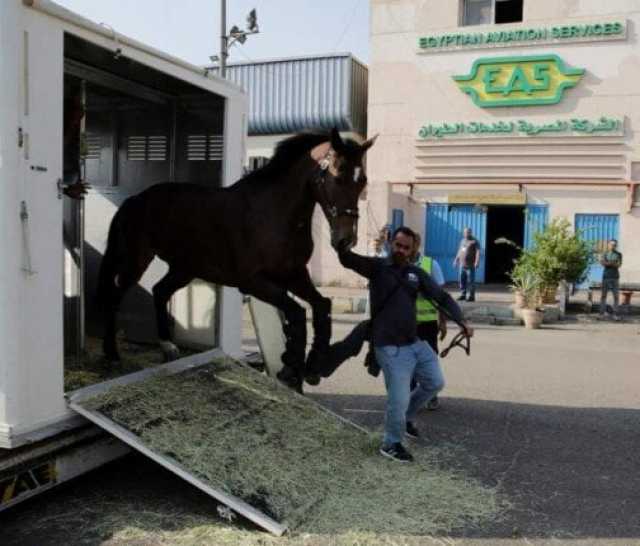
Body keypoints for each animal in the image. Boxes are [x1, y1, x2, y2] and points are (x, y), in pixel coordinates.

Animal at [97, 129, 378, 388]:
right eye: (337, 175)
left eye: (362, 180)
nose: (345, 241)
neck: (275, 213)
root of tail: (135, 200)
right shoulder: (252, 282)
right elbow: (297, 313)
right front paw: (290, 368)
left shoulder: (294, 274)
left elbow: (322, 305)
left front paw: (313, 365)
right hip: (137, 261)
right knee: (113, 296)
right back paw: (112, 355)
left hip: (185, 268)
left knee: (159, 291)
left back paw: (168, 348)